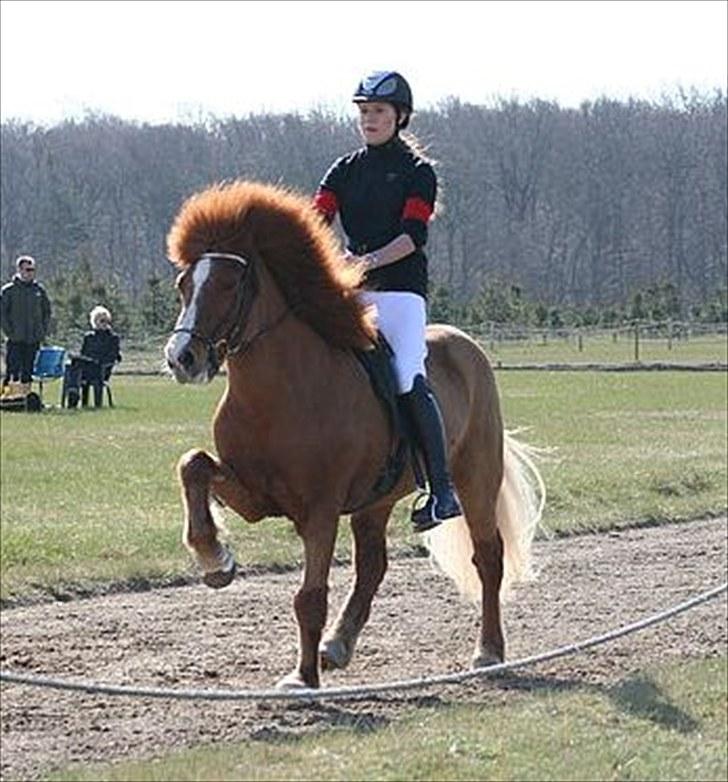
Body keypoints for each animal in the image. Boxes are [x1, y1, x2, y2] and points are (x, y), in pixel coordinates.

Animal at [164, 181, 540, 688]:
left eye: (227, 284)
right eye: (184, 284)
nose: (181, 358)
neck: (277, 392)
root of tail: (466, 345)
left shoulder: (320, 509)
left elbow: (309, 596)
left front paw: (301, 680)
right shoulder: (256, 495)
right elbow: (195, 465)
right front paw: (215, 558)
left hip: (475, 478)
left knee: (488, 557)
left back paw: (488, 652)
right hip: (373, 502)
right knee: (372, 567)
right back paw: (337, 645)